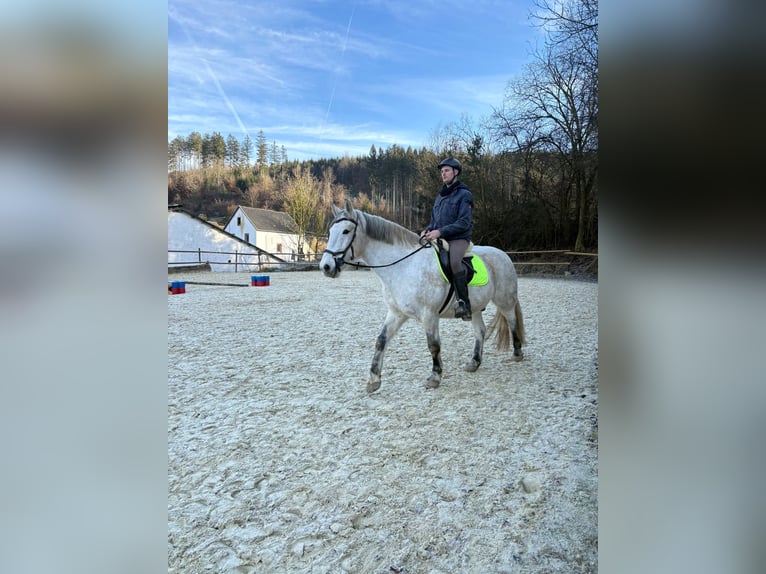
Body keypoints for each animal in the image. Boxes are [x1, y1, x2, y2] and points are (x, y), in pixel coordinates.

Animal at [320, 200, 528, 394]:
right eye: (330, 231)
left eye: (346, 231)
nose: (326, 266)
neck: (404, 267)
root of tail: (503, 255)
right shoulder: (396, 313)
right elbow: (381, 341)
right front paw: (373, 380)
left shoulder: (429, 315)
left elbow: (433, 345)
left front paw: (435, 377)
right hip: (475, 306)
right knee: (480, 331)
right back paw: (474, 362)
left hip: (504, 301)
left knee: (512, 321)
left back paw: (517, 353)